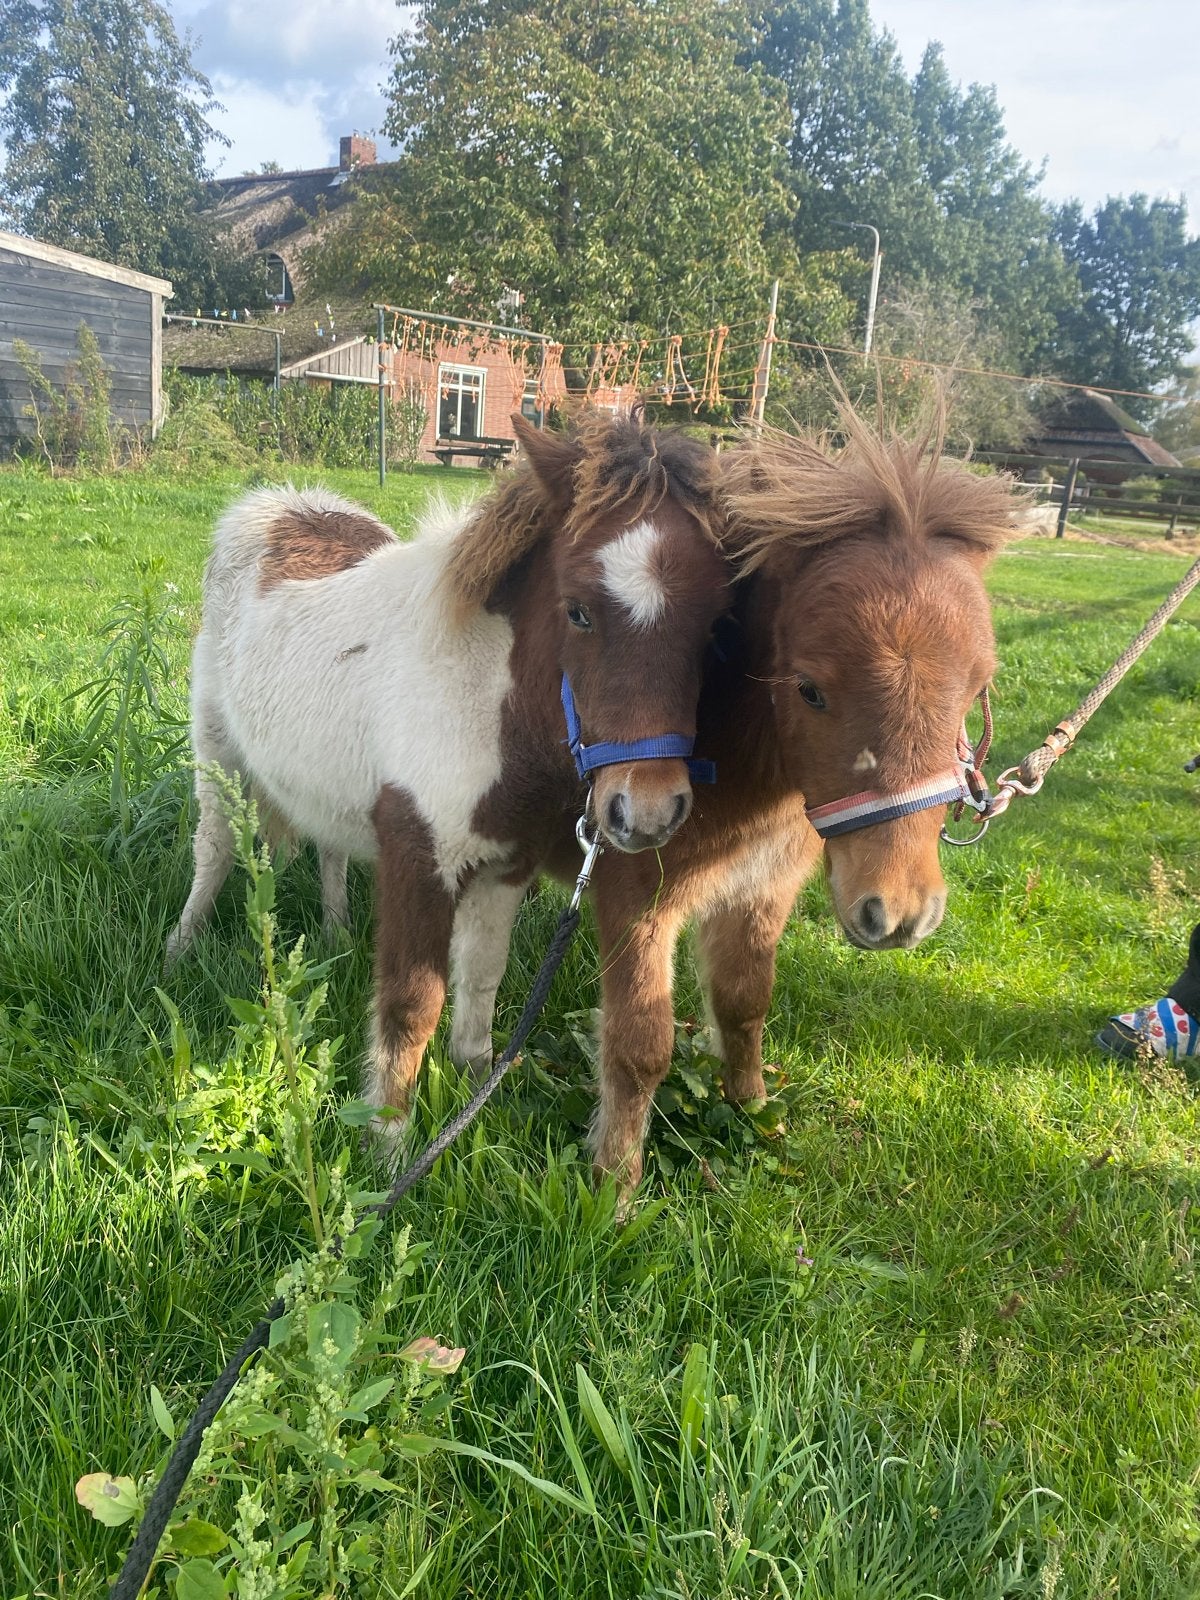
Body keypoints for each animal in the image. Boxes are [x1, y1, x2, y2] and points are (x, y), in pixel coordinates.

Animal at [165, 410, 732, 1136]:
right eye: (578, 609)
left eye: (715, 624)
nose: (648, 810)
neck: (482, 702)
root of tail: (270, 503)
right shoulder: (419, 861)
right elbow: (412, 1003)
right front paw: (387, 1138)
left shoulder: (506, 864)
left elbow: (482, 976)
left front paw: (471, 1084)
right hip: (217, 752)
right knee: (213, 848)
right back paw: (180, 947)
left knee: (328, 848)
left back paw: (336, 931)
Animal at [558, 411, 1015, 1197]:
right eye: (809, 689)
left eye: (978, 687)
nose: (899, 913)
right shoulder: (634, 900)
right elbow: (639, 1044)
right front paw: (613, 1188)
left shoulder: (763, 888)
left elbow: (745, 1003)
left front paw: (753, 1113)